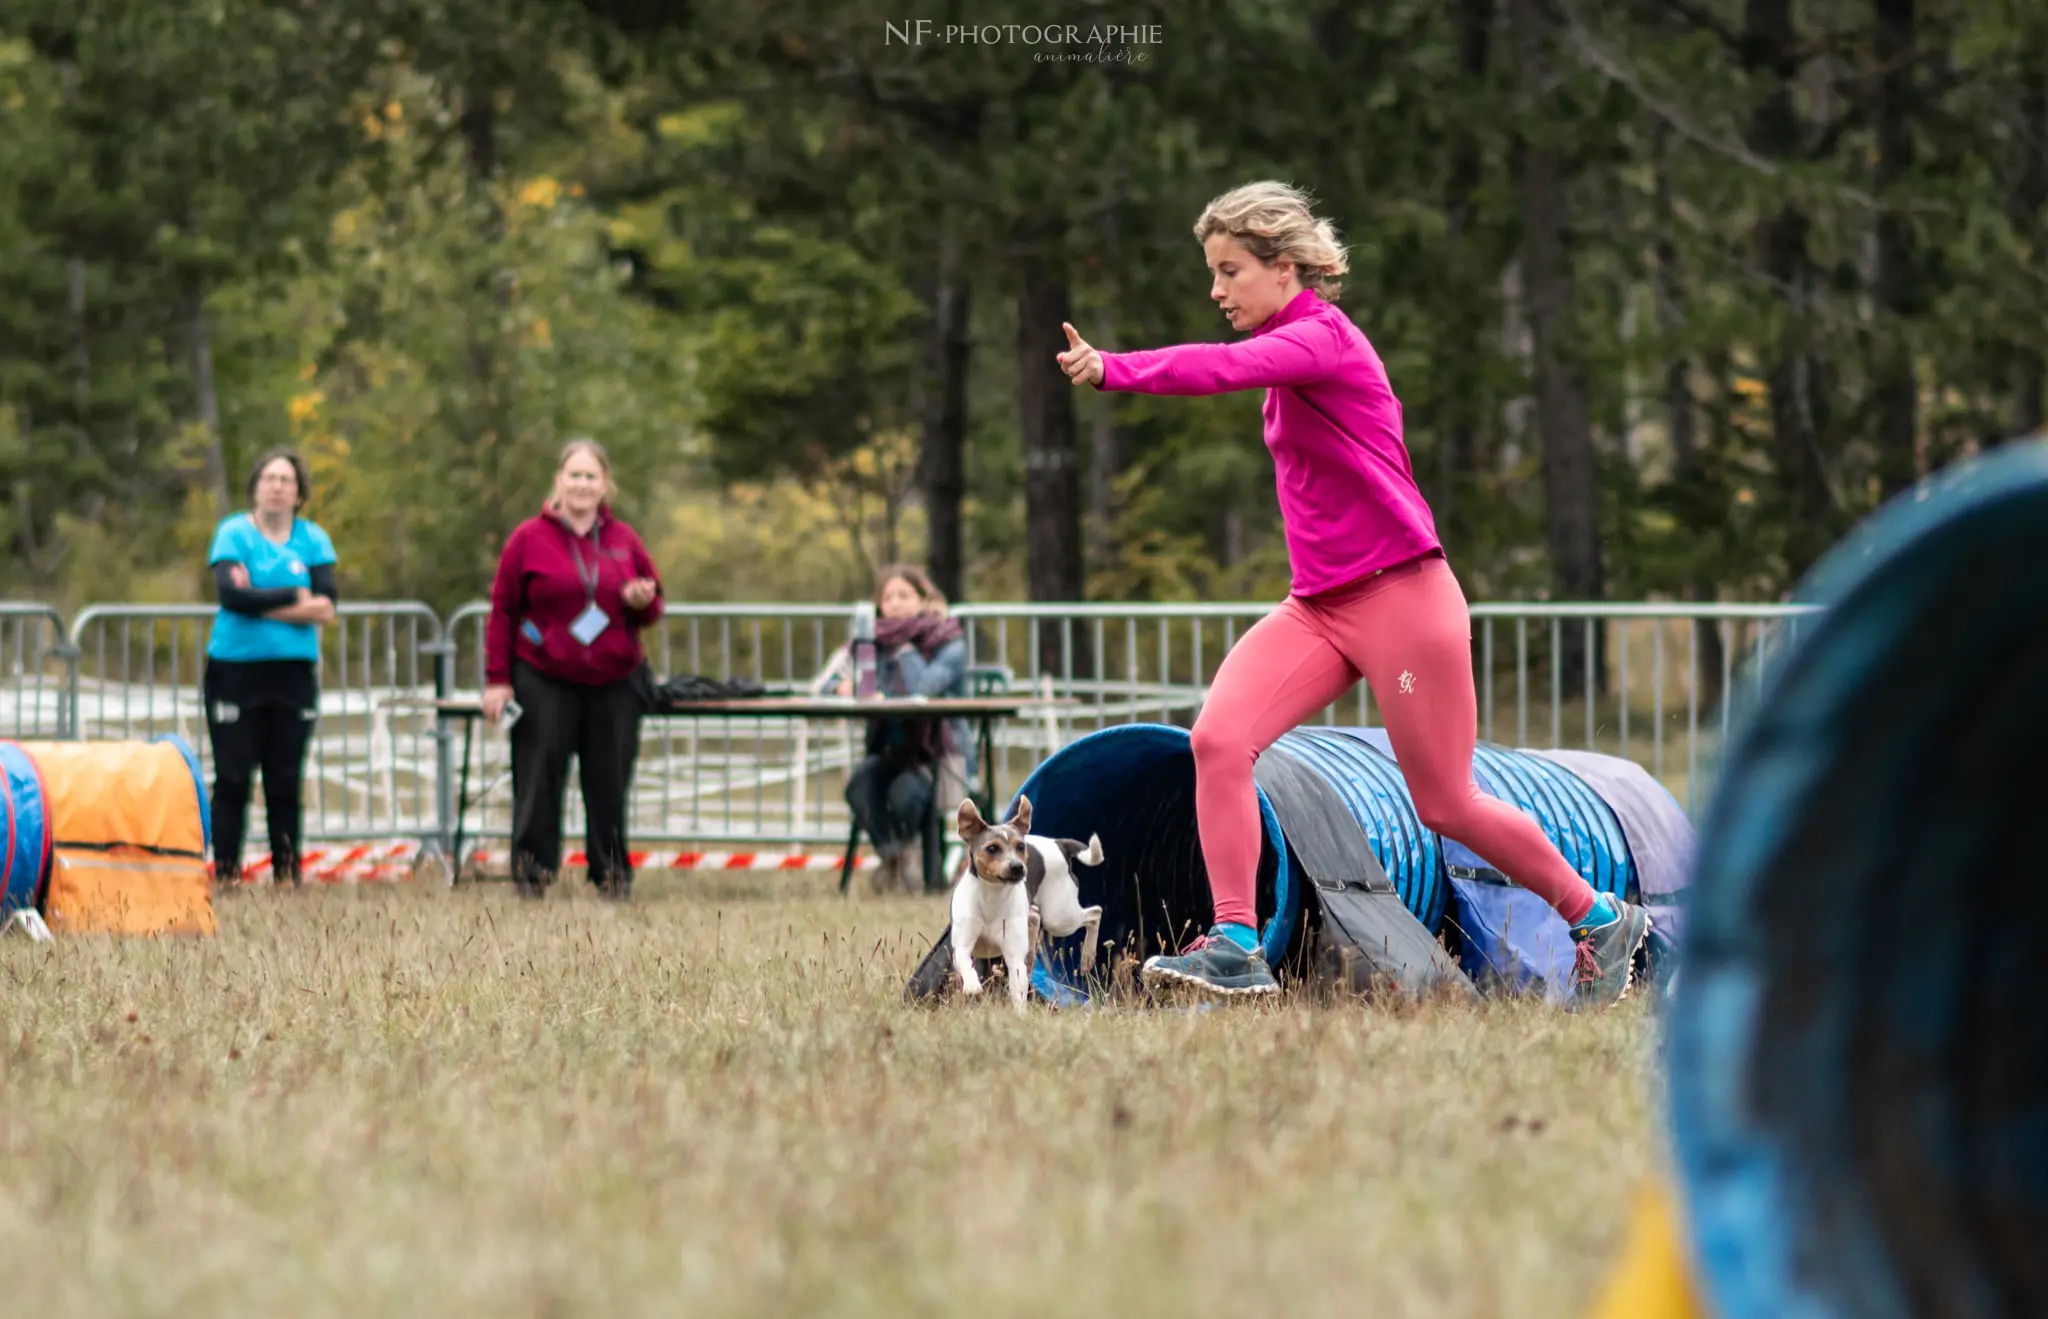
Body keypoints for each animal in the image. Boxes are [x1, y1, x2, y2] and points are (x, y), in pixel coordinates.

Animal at [946, 794, 1105, 1011]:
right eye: (992, 848)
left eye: (1021, 847)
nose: (1017, 867)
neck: (993, 895)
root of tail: (1059, 843)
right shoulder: (962, 944)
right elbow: (964, 961)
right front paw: (972, 985)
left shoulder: (1014, 957)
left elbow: (1018, 989)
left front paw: (1020, 1013)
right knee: (1038, 917)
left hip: (1059, 917)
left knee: (1095, 912)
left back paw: (1088, 956)